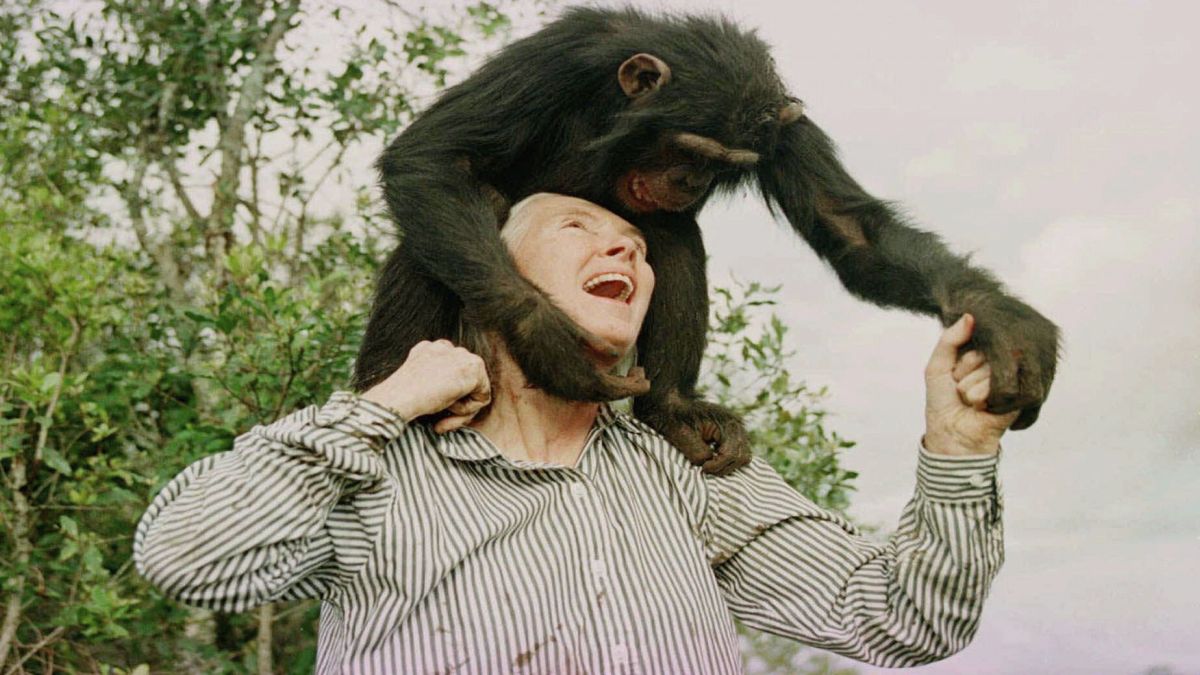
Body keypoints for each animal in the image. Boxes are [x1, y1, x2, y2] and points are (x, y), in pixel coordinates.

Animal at [352, 7, 1060, 475]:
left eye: (724, 165)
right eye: (689, 149)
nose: (690, 180)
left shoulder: (785, 129)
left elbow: (850, 228)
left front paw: (1002, 321)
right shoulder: (555, 59)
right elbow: (435, 155)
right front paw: (549, 344)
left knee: (674, 235)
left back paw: (672, 407)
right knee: (446, 229)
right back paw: (388, 388)